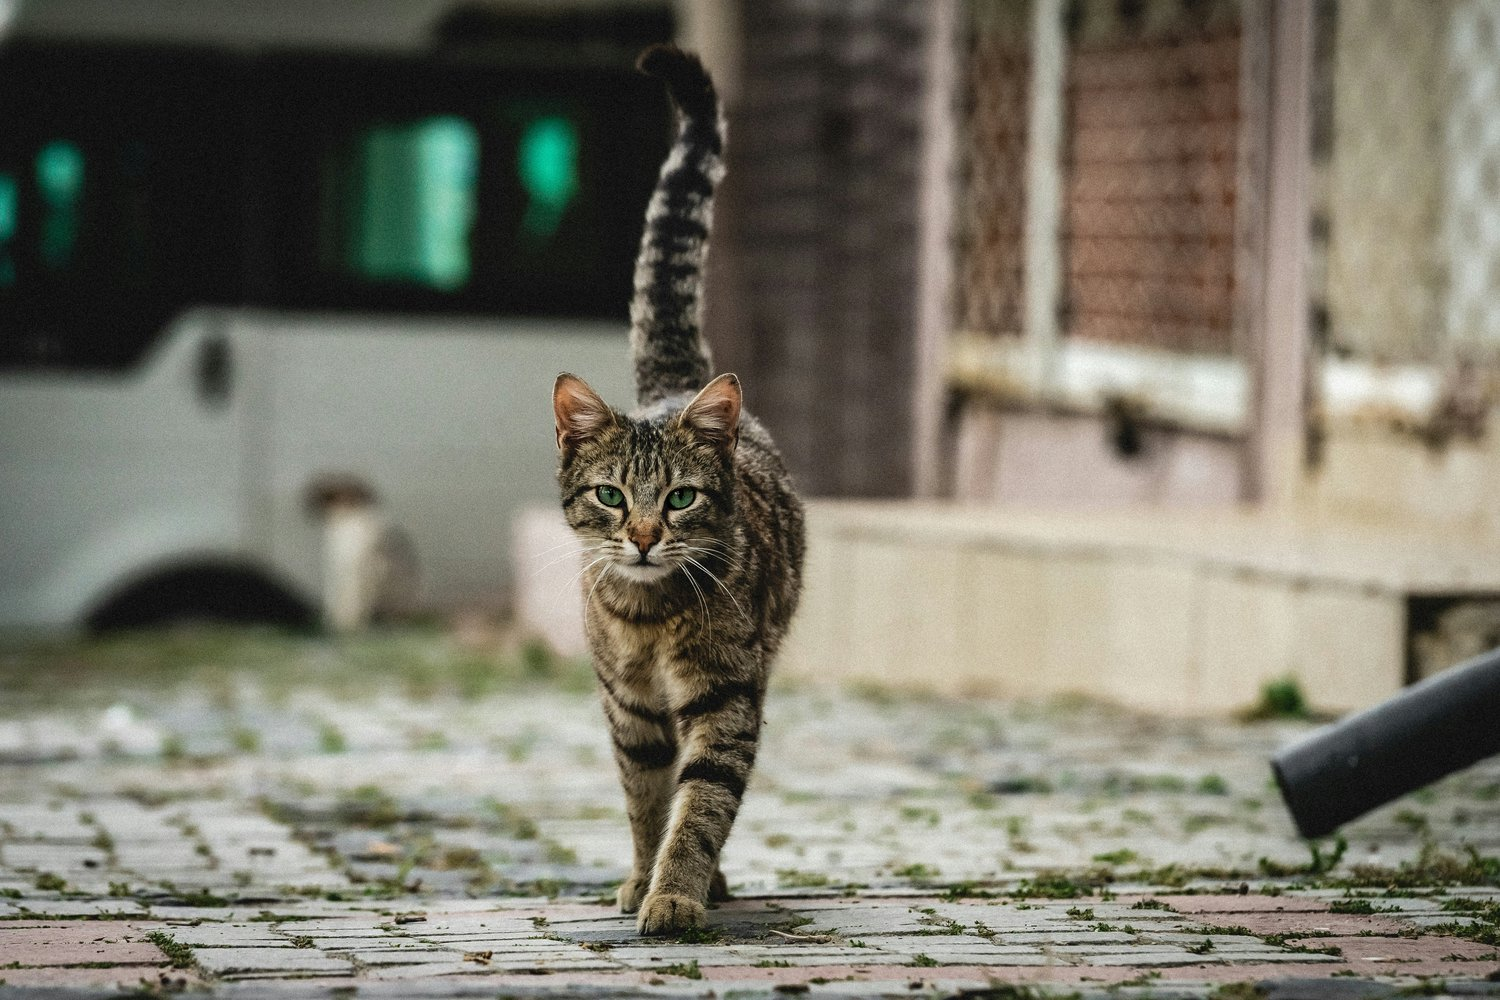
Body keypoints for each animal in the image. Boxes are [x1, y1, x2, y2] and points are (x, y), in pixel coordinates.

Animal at [555, 44, 810, 941]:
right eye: (609, 495)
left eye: (679, 500)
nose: (640, 536)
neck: (647, 616)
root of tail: (674, 385)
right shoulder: (629, 709)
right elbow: (645, 799)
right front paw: (643, 878)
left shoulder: (727, 695)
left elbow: (702, 804)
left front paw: (675, 893)